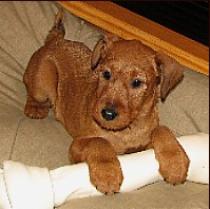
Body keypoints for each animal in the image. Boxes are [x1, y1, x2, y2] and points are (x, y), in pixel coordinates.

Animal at [23, 10, 189, 194]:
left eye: (137, 82)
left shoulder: (142, 147)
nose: (107, 114)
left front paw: (175, 163)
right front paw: (107, 174)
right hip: (43, 79)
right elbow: (99, 141)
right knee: (31, 90)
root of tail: (55, 41)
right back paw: (35, 108)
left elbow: (161, 129)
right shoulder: (76, 146)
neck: (127, 129)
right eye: (106, 74)